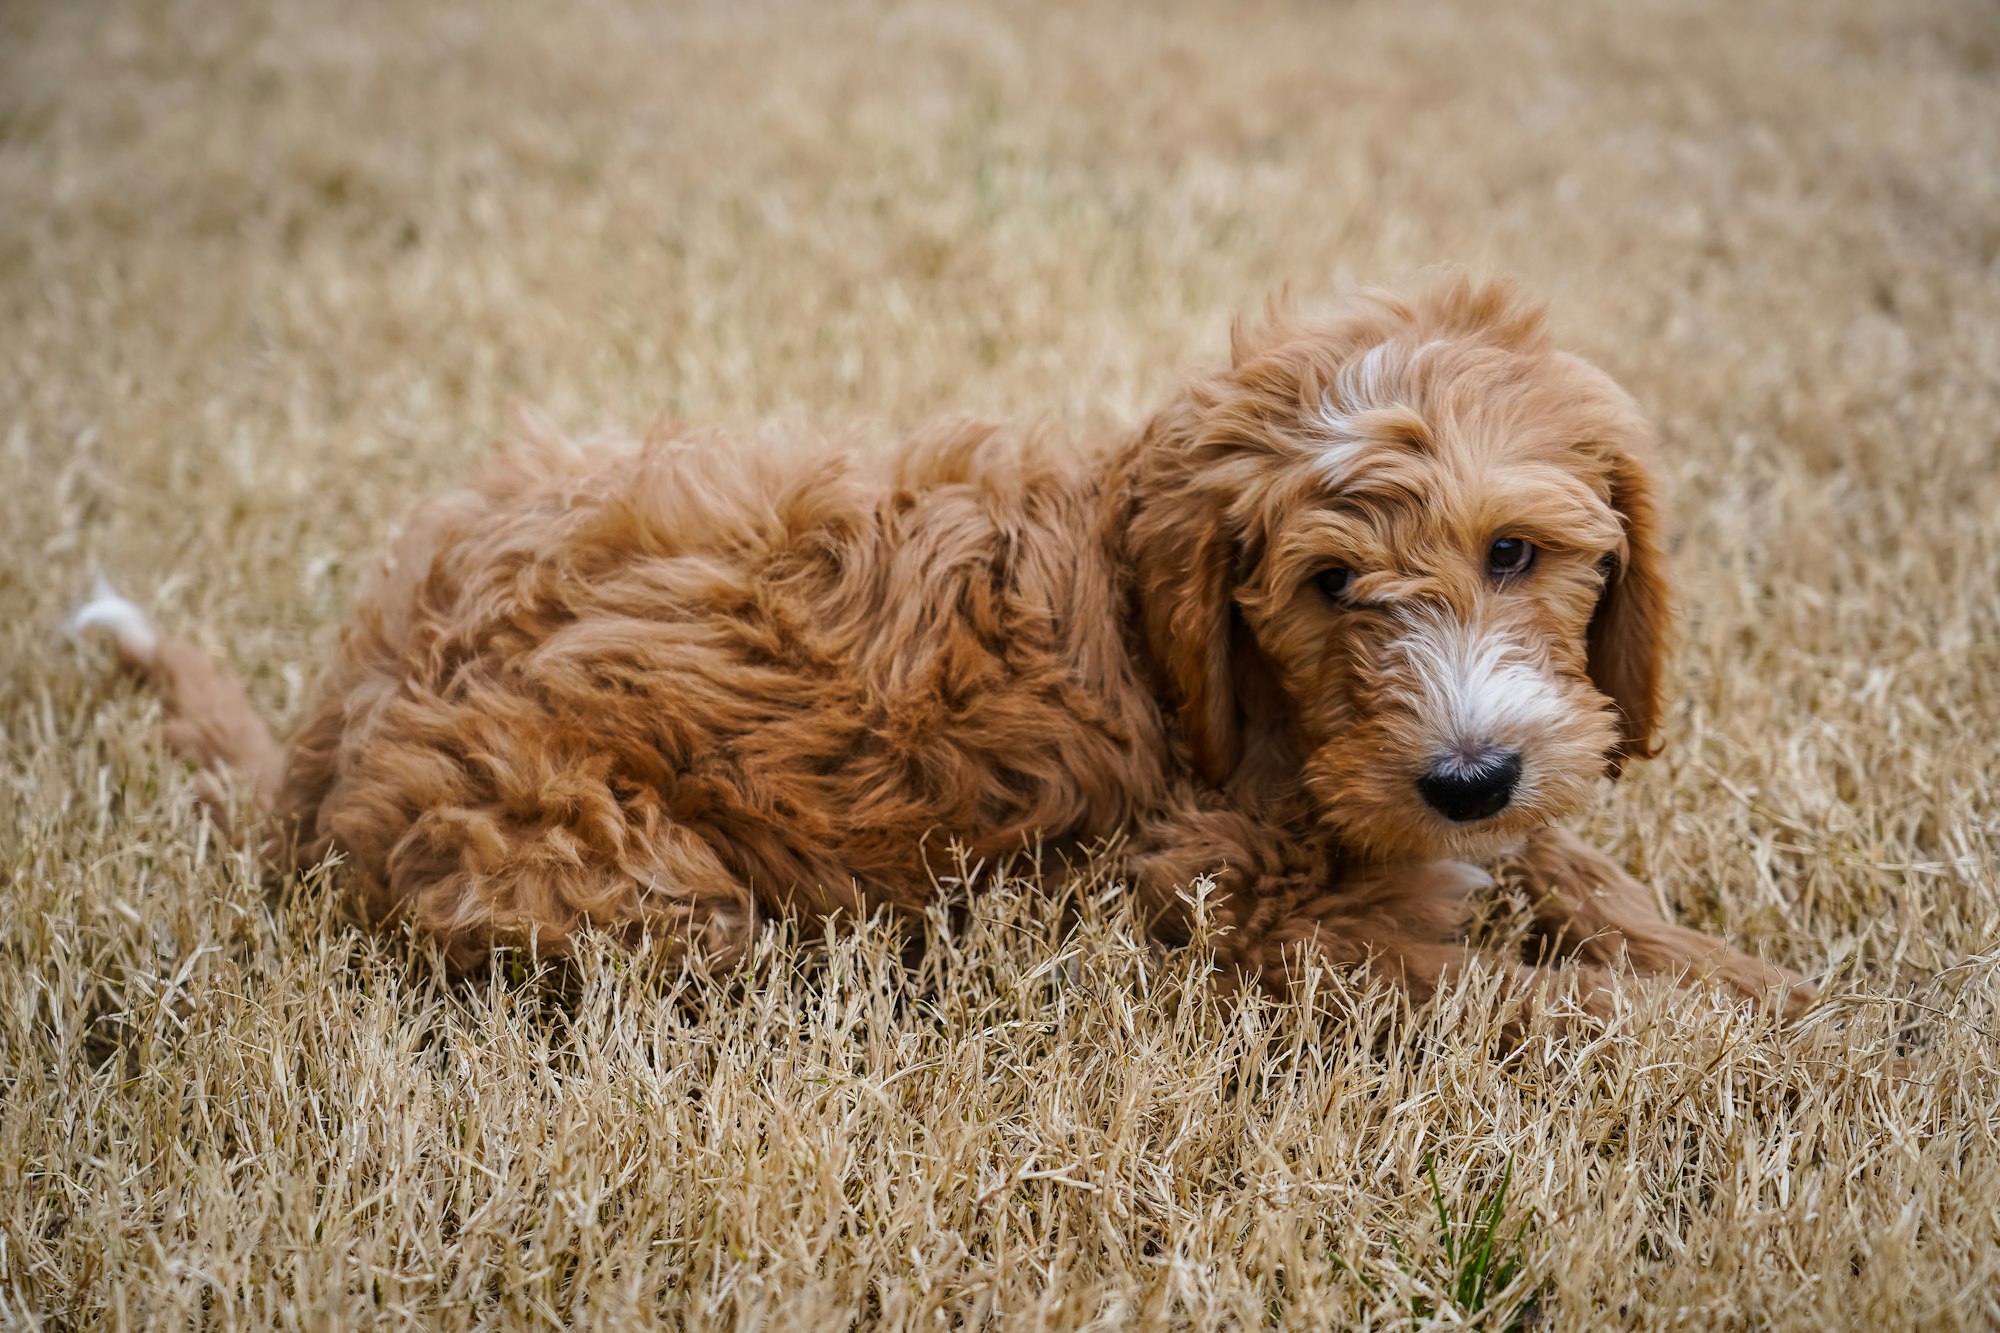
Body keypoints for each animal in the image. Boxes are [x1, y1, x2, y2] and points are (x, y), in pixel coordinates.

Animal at [74, 270, 1816, 1016]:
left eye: (1515, 553)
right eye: (1331, 584)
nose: (1464, 776)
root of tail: (341, 711)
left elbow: (1586, 883)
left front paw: (1777, 990)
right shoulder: (1233, 915)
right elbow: (1534, 1001)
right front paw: (1736, 1044)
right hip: (615, 879)